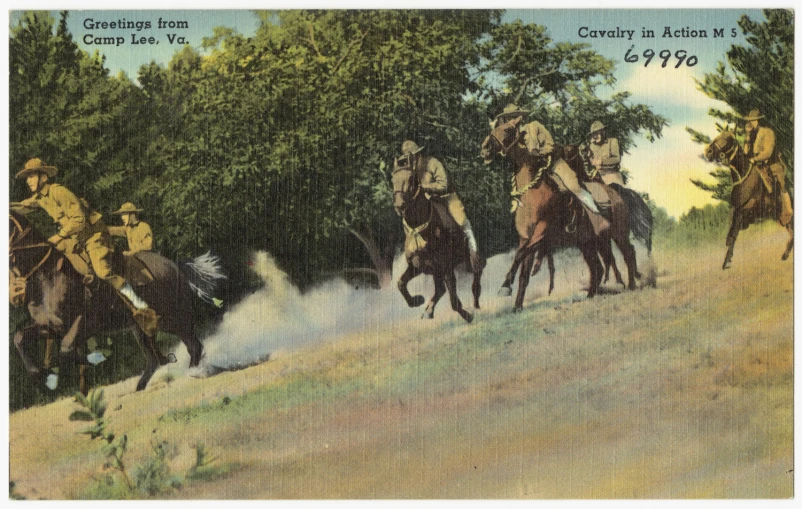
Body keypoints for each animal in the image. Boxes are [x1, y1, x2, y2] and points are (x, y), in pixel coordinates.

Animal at [9, 210, 222, 392]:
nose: (14, 296)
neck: (49, 277)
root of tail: (175, 265)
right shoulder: (51, 327)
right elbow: (19, 337)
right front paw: (41, 375)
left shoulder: (86, 322)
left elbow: (66, 347)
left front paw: (89, 361)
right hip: (141, 328)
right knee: (155, 359)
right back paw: (141, 386)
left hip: (173, 319)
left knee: (193, 346)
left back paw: (193, 373)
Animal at [390, 163, 482, 322]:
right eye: (392, 179)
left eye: (411, 178)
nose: (399, 205)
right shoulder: (417, 266)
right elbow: (401, 283)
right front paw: (417, 300)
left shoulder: (446, 268)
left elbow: (454, 301)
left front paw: (468, 316)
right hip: (436, 272)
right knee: (440, 289)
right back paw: (428, 310)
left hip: (470, 260)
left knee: (476, 277)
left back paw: (475, 303)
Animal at [478, 116, 640, 310]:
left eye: (507, 130)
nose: (485, 148)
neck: (533, 191)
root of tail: (616, 192)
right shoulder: (526, 238)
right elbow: (524, 272)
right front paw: (517, 306)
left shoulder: (541, 233)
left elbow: (519, 255)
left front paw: (505, 286)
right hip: (586, 243)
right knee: (598, 267)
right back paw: (590, 295)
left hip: (618, 234)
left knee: (628, 253)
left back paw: (631, 285)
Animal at [704, 129, 792, 268]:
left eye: (726, 138)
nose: (708, 151)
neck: (743, 178)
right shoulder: (736, 209)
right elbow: (732, 229)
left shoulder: (749, 208)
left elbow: (734, 232)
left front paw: (727, 261)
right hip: (778, 217)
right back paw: (785, 254)